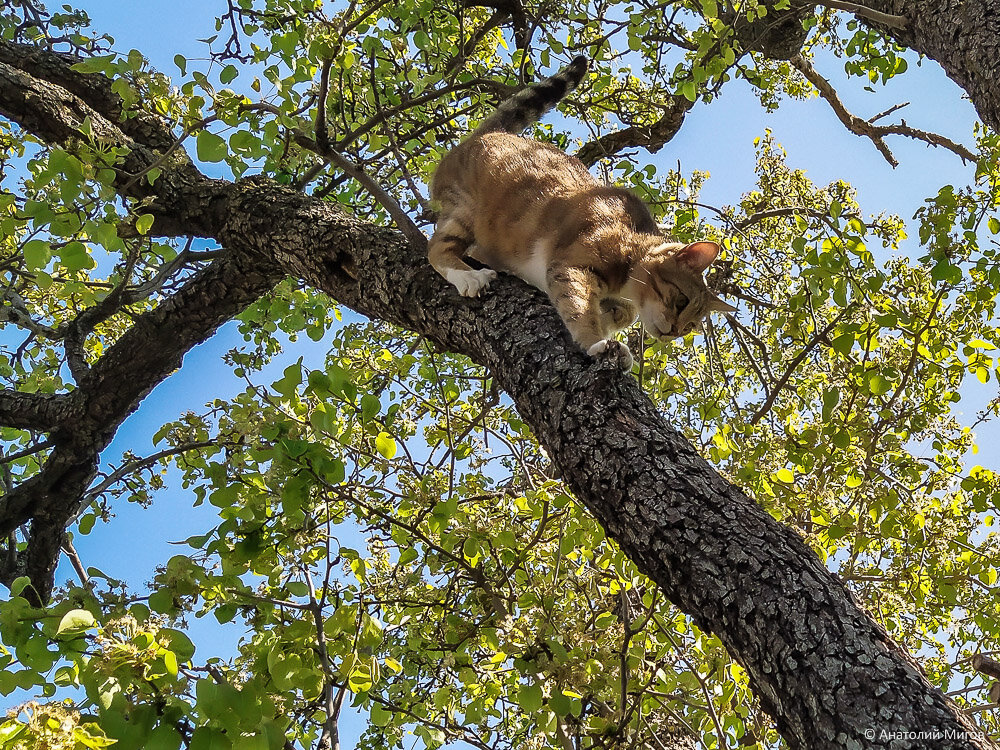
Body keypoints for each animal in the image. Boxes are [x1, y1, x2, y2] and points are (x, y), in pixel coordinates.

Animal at [424, 54, 736, 368]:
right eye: (682, 301)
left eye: (691, 326)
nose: (672, 332)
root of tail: (491, 132)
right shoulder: (571, 265)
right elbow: (579, 308)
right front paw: (598, 342)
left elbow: (625, 314)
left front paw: (612, 319)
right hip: (466, 210)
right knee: (436, 249)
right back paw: (470, 277)